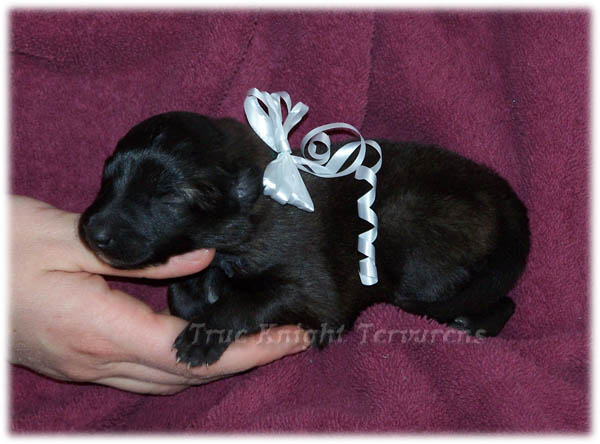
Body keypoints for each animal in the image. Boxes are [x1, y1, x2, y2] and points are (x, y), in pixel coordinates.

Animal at [79, 111, 530, 367]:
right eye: (105, 179)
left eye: (168, 197)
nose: (91, 232)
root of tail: (501, 191)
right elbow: (183, 295)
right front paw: (197, 298)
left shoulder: (312, 291)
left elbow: (249, 299)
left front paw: (205, 333)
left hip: (406, 237)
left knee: (494, 298)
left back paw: (472, 323)